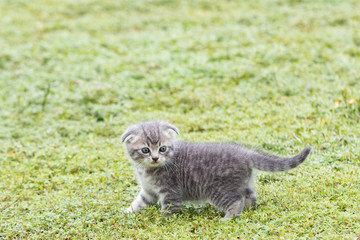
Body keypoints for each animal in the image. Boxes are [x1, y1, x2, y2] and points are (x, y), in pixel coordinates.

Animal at [121, 121, 310, 220]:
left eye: (162, 149)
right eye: (145, 150)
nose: (155, 158)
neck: (147, 170)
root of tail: (246, 153)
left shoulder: (171, 191)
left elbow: (169, 209)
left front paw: (161, 221)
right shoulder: (148, 191)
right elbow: (139, 201)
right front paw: (128, 212)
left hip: (218, 190)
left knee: (236, 201)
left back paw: (228, 217)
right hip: (241, 183)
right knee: (249, 194)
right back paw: (249, 209)